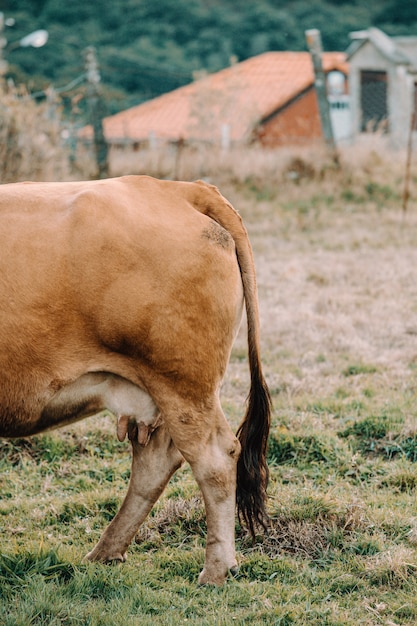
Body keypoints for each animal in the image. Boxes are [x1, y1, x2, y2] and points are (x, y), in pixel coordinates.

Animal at [0, 173, 270, 584]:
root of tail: (180, 188)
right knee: (156, 462)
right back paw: (105, 552)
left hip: (183, 384)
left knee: (215, 459)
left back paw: (215, 570)